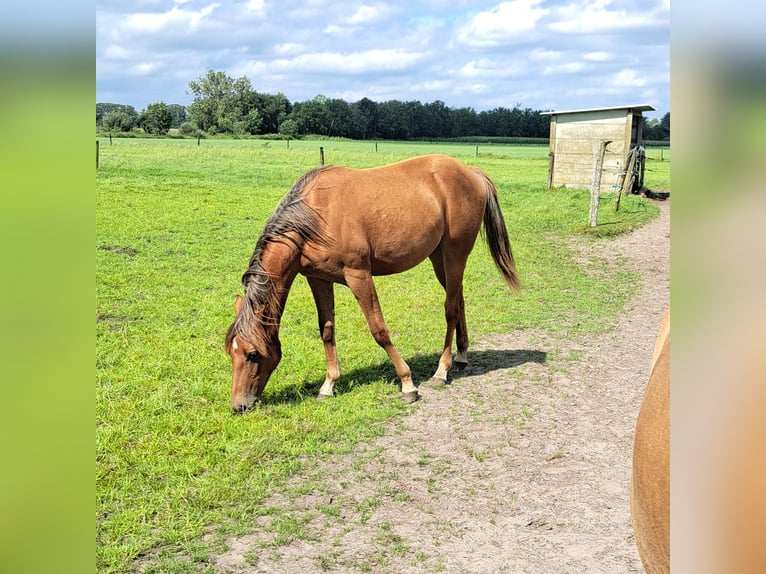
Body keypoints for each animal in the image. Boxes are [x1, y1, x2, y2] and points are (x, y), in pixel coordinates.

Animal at [224, 153, 520, 414]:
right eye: (230, 352)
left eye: (252, 354)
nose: (239, 405)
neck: (315, 216)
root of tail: (471, 172)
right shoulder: (318, 279)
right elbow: (326, 330)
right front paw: (328, 385)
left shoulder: (358, 275)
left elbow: (379, 330)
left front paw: (407, 384)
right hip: (439, 257)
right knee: (458, 300)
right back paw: (461, 356)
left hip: (454, 253)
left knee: (450, 309)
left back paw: (442, 369)